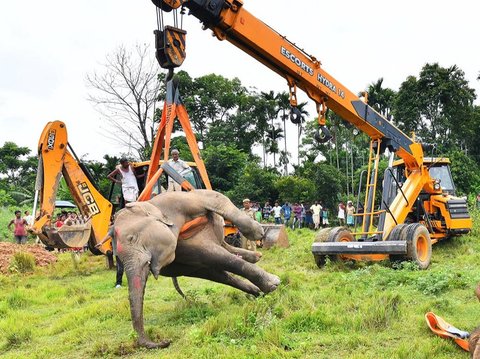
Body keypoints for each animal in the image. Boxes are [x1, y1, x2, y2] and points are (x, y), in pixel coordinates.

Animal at [113, 190, 282, 350]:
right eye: (118, 256)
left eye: (132, 238)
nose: (166, 341)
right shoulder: (183, 250)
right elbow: (211, 257)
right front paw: (272, 285)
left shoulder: (176, 200)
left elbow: (213, 197)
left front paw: (259, 235)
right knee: (218, 269)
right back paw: (256, 284)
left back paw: (256, 254)